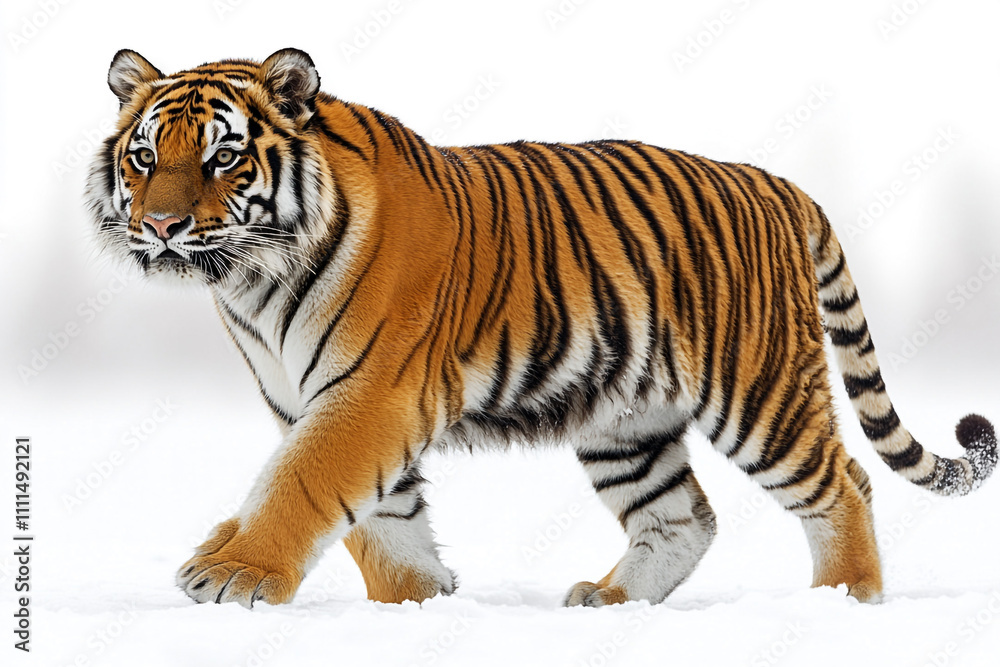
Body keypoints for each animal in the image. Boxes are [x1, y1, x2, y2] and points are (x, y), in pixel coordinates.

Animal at [86, 48, 997, 610]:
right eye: (144, 157)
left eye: (222, 157)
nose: (160, 225)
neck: (253, 279)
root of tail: (775, 181)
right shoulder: (306, 398)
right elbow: (379, 520)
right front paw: (418, 605)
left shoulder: (368, 393)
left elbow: (301, 484)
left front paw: (234, 573)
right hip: (625, 417)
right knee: (684, 517)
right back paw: (610, 602)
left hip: (758, 391)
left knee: (844, 481)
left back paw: (844, 599)